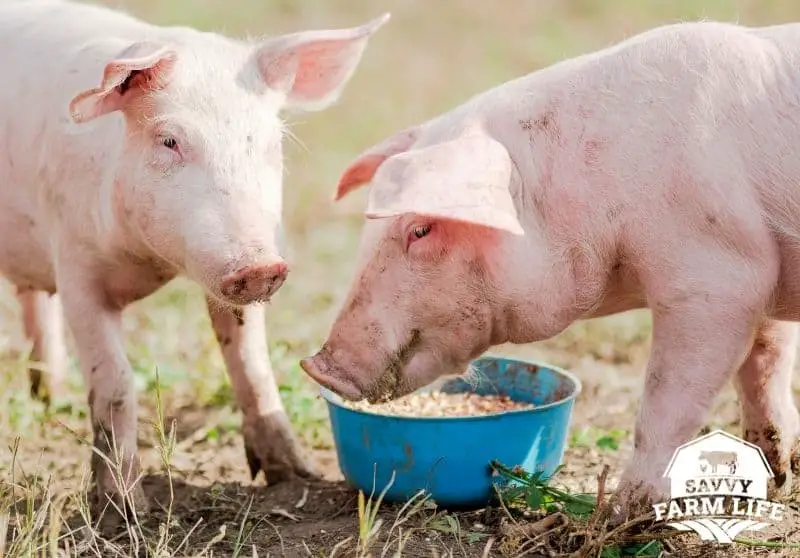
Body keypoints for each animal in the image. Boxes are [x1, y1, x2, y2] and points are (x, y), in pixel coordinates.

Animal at [0, 0, 389, 517]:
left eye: (271, 143)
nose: (261, 266)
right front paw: (125, 509)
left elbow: (251, 363)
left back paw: (51, 397)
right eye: (169, 141)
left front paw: (294, 474)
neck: (149, 263)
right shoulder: (76, 265)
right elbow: (116, 383)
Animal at [301, 20, 800, 521]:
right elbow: (765, 363)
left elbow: (668, 398)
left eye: (420, 229)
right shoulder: (762, 276)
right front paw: (774, 478)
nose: (318, 367)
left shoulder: (718, 275)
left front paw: (624, 513)